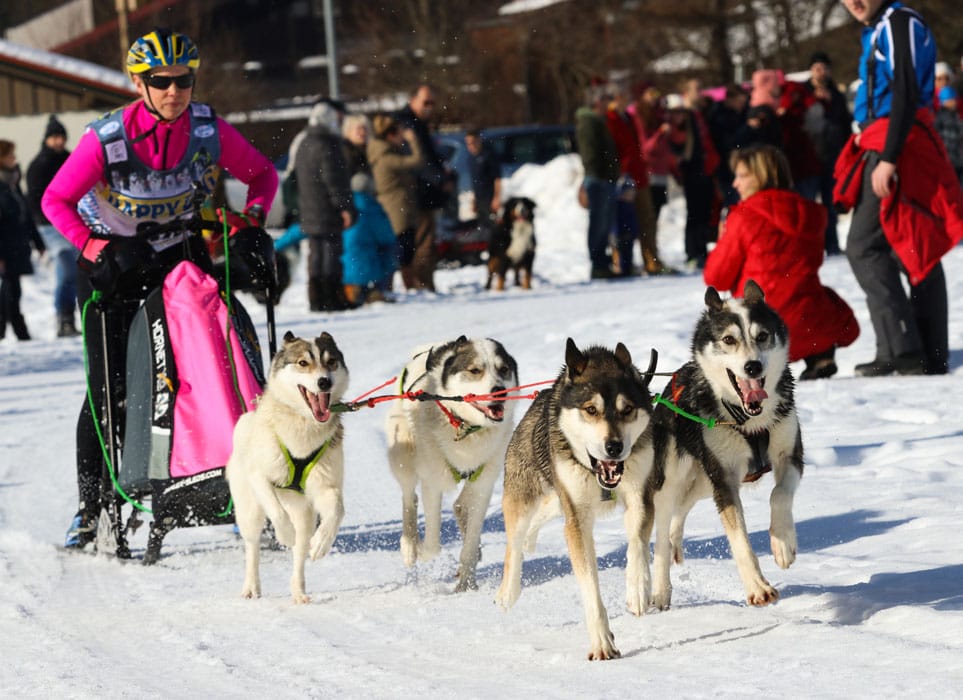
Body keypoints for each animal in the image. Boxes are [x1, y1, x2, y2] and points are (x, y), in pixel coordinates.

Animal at [229, 330, 350, 600]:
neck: (303, 424)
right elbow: (276, 512)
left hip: (305, 514)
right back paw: (251, 586)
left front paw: (322, 543)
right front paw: (285, 534)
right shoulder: (260, 478)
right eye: (303, 363)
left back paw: (299, 591)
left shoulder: (326, 486)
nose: (324, 382)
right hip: (249, 509)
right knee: (252, 546)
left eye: (331, 362)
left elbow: (337, 510)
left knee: (300, 551)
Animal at [384, 334, 520, 592]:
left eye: (504, 369)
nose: (499, 391)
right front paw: (421, 550)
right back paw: (409, 545)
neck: (465, 428)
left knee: (459, 505)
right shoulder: (432, 483)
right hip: (403, 457)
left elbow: (470, 541)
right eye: (475, 370)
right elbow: (433, 544)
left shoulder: (483, 484)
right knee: (409, 497)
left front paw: (467, 583)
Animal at [498, 340, 656, 660]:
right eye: (591, 410)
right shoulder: (577, 520)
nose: (614, 447)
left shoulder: (640, 496)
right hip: (524, 498)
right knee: (514, 542)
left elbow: (637, 543)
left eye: (627, 409)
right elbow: (590, 587)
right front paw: (602, 642)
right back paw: (508, 591)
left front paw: (638, 589)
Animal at [644, 278, 804, 608]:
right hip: (674, 479)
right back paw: (661, 590)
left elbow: (779, 495)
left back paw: (677, 540)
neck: (748, 420)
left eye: (762, 336)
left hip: (704, 482)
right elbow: (739, 538)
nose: (753, 367)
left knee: (681, 513)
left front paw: (783, 542)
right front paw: (758, 587)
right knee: (662, 534)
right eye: (729, 339)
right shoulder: (725, 479)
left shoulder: (790, 454)